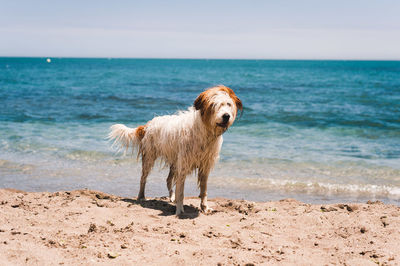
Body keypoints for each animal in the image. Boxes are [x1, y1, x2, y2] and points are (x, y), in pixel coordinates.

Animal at [108, 85, 242, 216]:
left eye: (229, 104)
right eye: (214, 105)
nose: (226, 116)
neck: (205, 131)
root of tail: (148, 124)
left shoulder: (205, 165)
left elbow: (203, 190)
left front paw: (204, 207)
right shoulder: (183, 165)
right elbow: (181, 190)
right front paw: (179, 210)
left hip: (174, 162)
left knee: (168, 180)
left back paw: (172, 197)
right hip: (150, 158)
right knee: (143, 179)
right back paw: (141, 197)